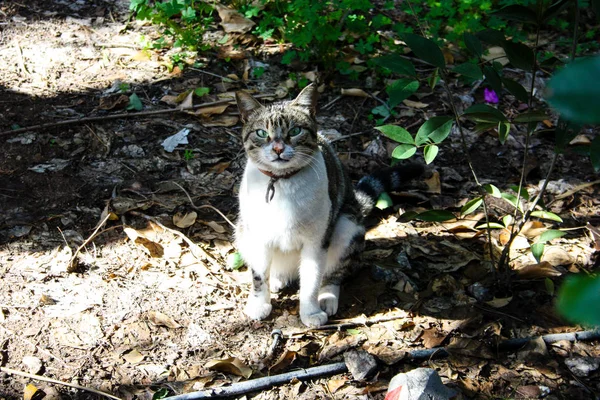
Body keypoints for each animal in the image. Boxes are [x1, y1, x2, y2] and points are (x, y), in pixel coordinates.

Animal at [234, 85, 422, 328]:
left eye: (295, 130)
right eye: (261, 133)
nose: (277, 148)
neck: (281, 182)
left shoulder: (318, 239)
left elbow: (312, 279)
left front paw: (310, 312)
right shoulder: (256, 235)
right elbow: (258, 275)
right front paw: (259, 304)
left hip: (346, 226)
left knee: (334, 274)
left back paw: (327, 298)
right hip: (241, 232)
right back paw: (277, 278)